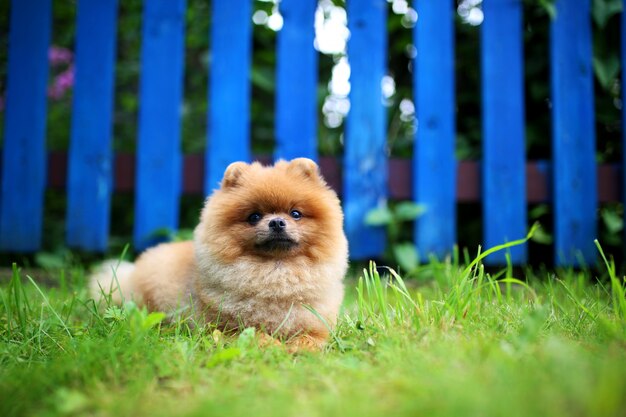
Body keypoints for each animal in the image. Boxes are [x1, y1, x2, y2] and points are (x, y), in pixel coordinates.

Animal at [91, 158, 348, 350]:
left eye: (295, 214)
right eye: (254, 216)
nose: (276, 222)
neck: (275, 273)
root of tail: (131, 272)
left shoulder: (317, 323)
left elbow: (312, 337)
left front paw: (299, 347)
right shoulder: (223, 329)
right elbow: (254, 335)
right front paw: (273, 345)